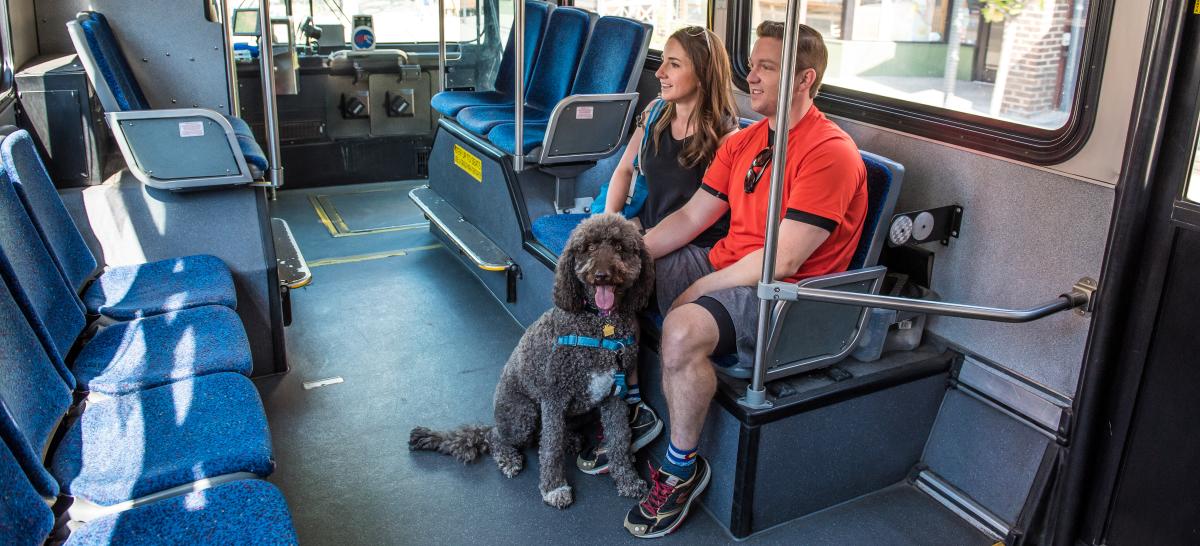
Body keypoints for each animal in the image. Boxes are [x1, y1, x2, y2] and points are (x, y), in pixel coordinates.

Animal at [412, 213, 657, 508]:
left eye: (620, 246)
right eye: (588, 247)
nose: (601, 275)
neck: (600, 325)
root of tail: (496, 420)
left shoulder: (614, 396)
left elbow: (620, 439)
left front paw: (628, 480)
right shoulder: (553, 397)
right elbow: (550, 450)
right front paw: (554, 488)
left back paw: (570, 440)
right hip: (523, 414)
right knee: (498, 437)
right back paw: (509, 457)